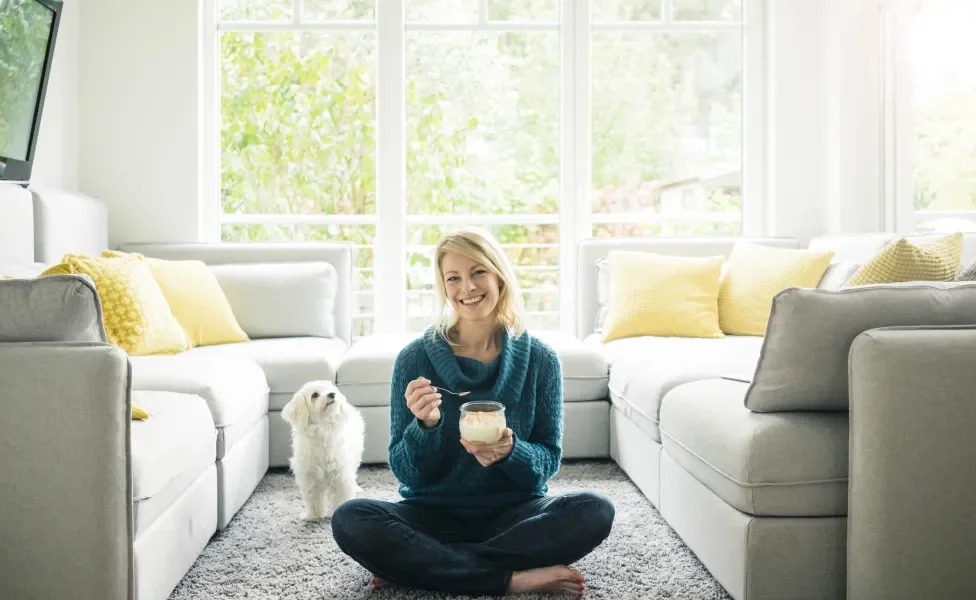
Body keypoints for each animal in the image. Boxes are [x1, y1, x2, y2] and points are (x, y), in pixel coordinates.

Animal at [282, 382, 366, 516]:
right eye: (314, 395)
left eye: (331, 390)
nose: (332, 394)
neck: (323, 427)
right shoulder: (310, 476)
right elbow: (313, 497)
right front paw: (314, 515)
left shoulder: (340, 475)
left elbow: (342, 495)